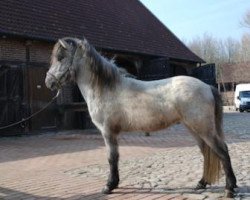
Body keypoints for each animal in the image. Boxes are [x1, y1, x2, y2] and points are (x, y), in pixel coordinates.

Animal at [45, 37, 236, 197]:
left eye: (61, 57)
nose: (49, 82)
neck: (106, 89)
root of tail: (207, 87)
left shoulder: (108, 132)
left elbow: (111, 158)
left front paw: (109, 186)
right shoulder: (112, 133)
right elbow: (115, 158)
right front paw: (113, 184)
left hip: (203, 128)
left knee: (222, 151)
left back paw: (230, 188)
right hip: (193, 128)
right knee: (206, 152)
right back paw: (201, 183)